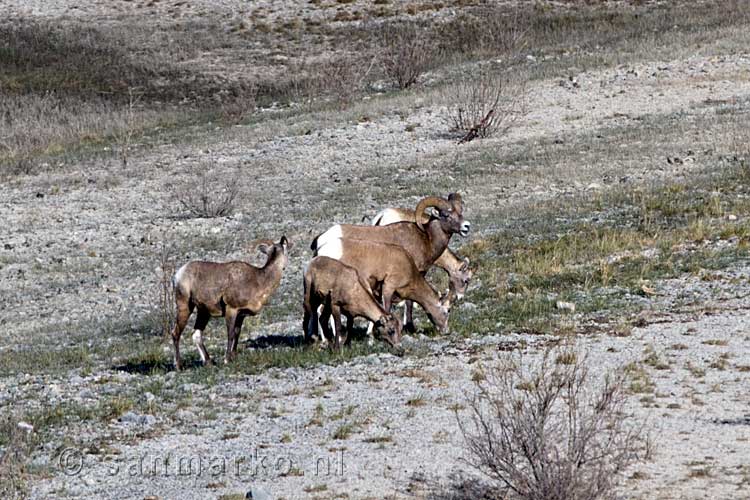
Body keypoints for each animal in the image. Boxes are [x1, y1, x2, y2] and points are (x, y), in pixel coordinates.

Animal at [172, 236, 290, 370]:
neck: (259, 282)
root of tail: (178, 275)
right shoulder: (231, 309)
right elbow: (230, 334)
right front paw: (227, 360)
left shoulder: (241, 315)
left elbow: (237, 333)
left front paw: (234, 357)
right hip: (185, 306)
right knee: (176, 333)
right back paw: (179, 366)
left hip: (203, 312)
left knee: (196, 334)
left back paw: (209, 362)